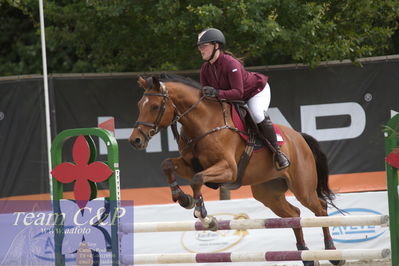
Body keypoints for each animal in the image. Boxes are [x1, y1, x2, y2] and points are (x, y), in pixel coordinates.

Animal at [128, 73, 344, 266]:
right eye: (139, 106)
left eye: (155, 106)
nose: (135, 140)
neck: (202, 122)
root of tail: (299, 137)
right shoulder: (190, 165)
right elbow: (167, 165)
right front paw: (182, 198)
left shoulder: (228, 170)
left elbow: (197, 179)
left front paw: (204, 215)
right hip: (268, 193)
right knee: (294, 214)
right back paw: (306, 255)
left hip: (302, 187)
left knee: (320, 208)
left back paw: (333, 253)